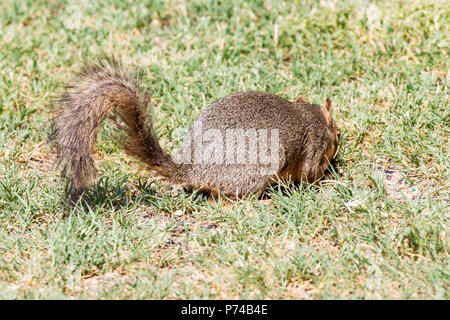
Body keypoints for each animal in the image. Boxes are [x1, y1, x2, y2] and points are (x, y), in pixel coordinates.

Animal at [49, 57, 340, 202]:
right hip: (258, 169)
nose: (339, 145)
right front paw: (327, 178)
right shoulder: (313, 148)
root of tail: (193, 170)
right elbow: (310, 173)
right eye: (337, 137)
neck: (309, 115)